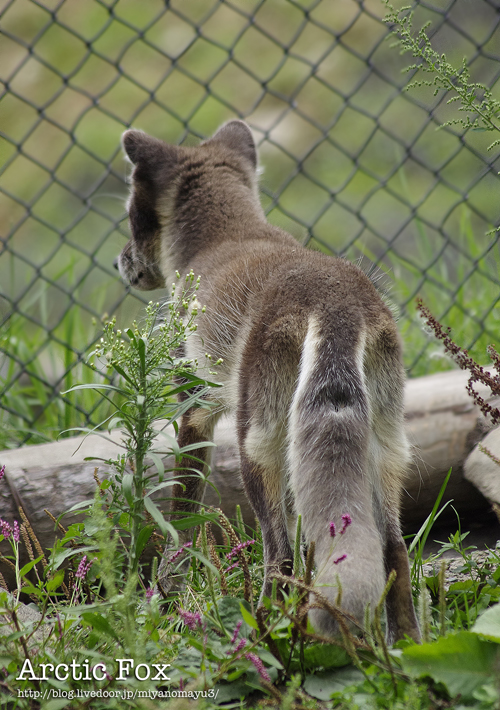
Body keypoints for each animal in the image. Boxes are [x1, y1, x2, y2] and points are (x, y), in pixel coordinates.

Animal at [115, 118, 420, 644]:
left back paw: (263, 639)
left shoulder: (195, 408)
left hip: (257, 447)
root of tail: (336, 298)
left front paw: (167, 590)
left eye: (131, 215)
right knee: (393, 550)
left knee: (280, 557)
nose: (122, 261)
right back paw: (405, 653)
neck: (225, 237)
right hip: (385, 448)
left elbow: (182, 515)